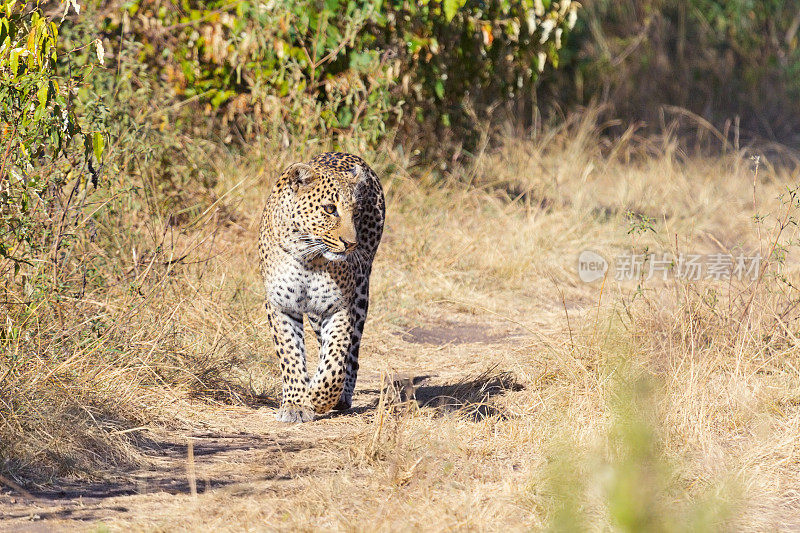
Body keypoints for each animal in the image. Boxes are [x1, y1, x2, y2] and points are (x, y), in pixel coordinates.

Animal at [260, 152, 384, 422]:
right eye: (329, 209)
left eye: (356, 213)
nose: (351, 243)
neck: (307, 256)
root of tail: (345, 152)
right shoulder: (280, 306)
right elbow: (290, 354)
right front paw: (295, 404)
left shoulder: (339, 307)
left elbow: (336, 358)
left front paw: (318, 397)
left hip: (361, 293)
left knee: (352, 354)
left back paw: (341, 396)